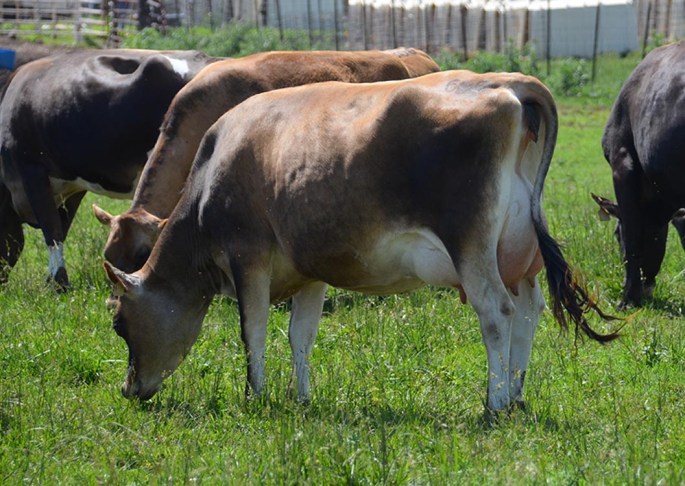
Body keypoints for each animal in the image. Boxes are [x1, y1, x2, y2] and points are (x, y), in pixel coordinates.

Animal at [103, 70, 618, 413]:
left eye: (120, 324)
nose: (129, 390)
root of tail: (507, 84)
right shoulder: (310, 269)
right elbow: (301, 336)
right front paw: (302, 398)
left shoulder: (247, 257)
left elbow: (255, 333)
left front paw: (256, 396)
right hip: (519, 252)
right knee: (529, 311)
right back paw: (515, 396)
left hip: (471, 247)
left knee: (497, 313)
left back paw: (493, 405)